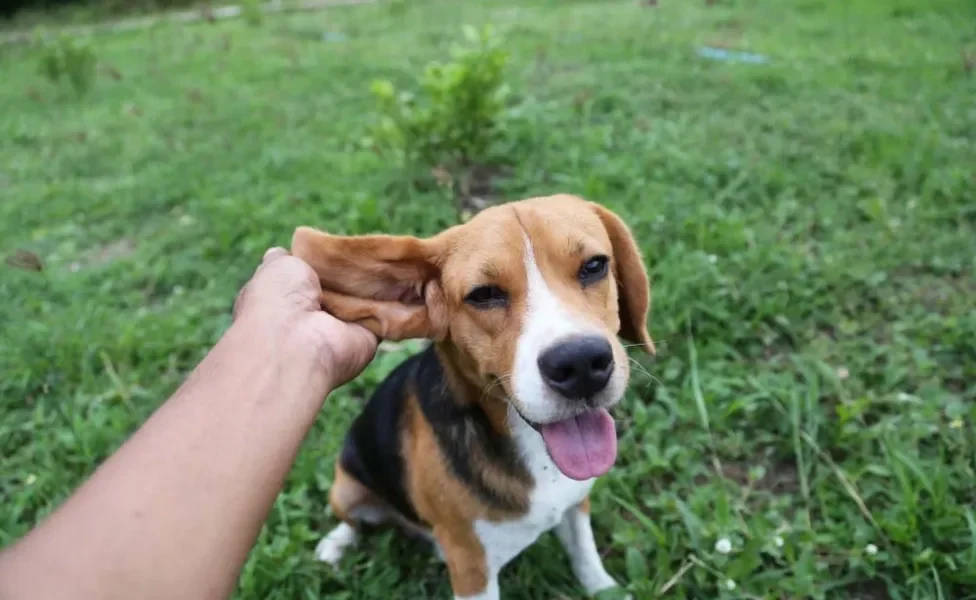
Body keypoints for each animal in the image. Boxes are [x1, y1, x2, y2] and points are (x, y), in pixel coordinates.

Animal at [292, 195, 656, 596]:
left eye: (594, 266)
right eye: (484, 295)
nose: (580, 365)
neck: (533, 450)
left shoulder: (577, 505)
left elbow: (586, 556)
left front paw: (605, 590)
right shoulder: (471, 570)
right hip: (345, 488)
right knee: (353, 521)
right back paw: (335, 544)